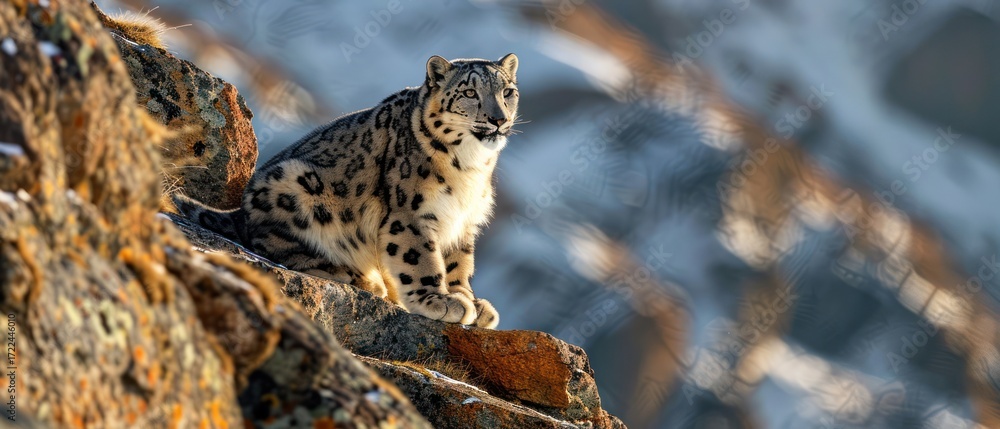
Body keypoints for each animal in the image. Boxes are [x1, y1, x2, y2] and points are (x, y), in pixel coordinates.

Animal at [173, 54, 520, 329]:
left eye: (507, 92)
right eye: (470, 92)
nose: (498, 119)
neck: (471, 167)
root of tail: (240, 210)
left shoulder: (463, 221)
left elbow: (457, 263)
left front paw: (469, 300)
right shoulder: (411, 214)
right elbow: (419, 257)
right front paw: (437, 300)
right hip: (294, 185)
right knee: (270, 244)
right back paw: (354, 275)